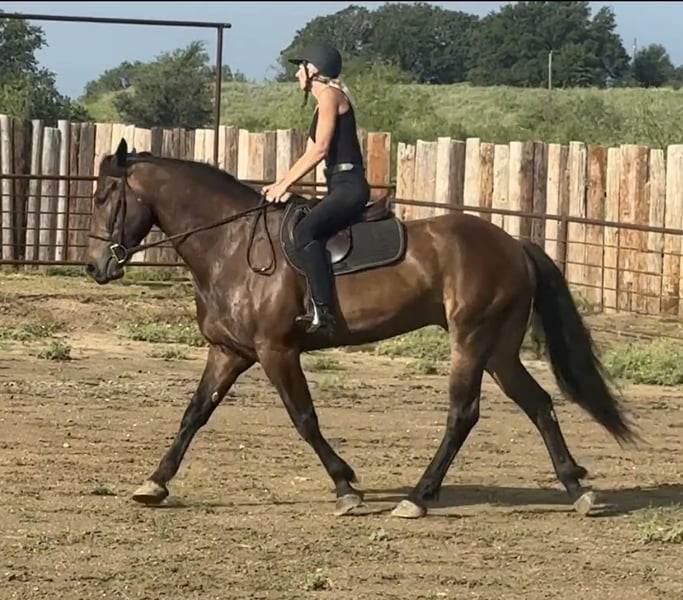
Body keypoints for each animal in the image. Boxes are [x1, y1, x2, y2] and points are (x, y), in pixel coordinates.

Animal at [83, 138, 638, 519]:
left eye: (105, 196)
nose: (94, 266)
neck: (231, 244)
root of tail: (513, 244)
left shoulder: (276, 351)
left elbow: (305, 419)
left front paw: (346, 487)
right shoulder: (229, 352)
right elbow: (193, 414)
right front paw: (154, 483)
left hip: (472, 341)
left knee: (463, 414)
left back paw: (418, 498)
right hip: (499, 350)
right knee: (539, 404)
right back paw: (577, 489)